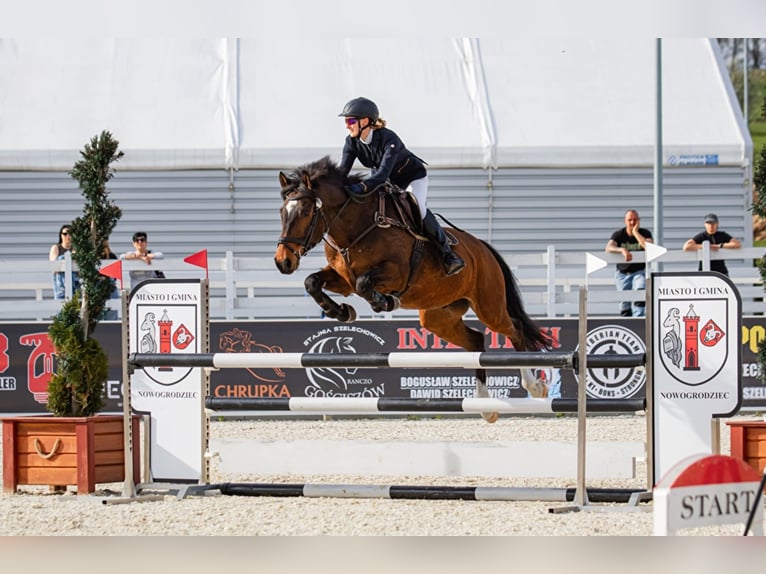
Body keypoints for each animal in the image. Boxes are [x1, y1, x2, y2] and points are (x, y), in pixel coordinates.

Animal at [274, 156, 551, 422]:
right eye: (281, 212)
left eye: (306, 211)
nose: (282, 262)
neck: (355, 227)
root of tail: (482, 247)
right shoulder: (343, 279)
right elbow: (312, 282)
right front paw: (342, 312)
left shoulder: (394, 273)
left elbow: (364, 284)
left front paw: (384, 302)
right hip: (438, 316)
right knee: (476, 340)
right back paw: (485, 406)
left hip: (488, 306)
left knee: (514, 328)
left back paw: (534, 387)